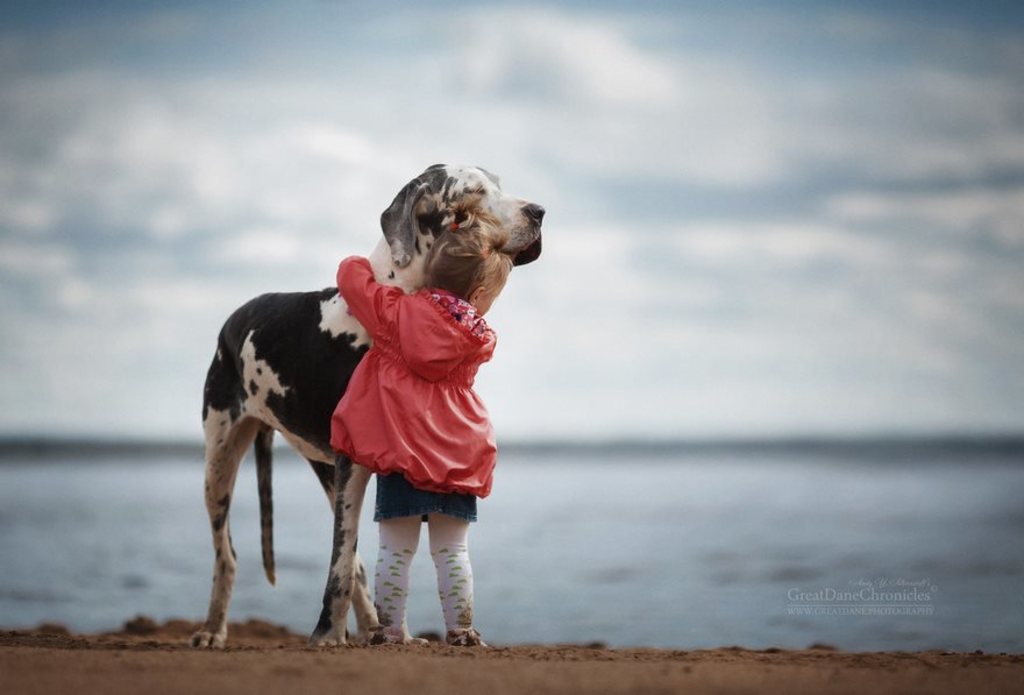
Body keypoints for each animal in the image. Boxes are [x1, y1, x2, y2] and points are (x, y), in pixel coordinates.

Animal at [192, 165, 544, 650]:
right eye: (473, 194)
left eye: (499, 183)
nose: (539, 211)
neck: (400, 295)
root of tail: (233, 316)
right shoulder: (354, 464)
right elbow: (340, 563)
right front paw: (326, 634)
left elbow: (365, 558)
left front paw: (389, 632)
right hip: (219, 464)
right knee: (226, 554)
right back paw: (213, 629)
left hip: (324, 471)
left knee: (354, 558)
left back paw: (372, 626)